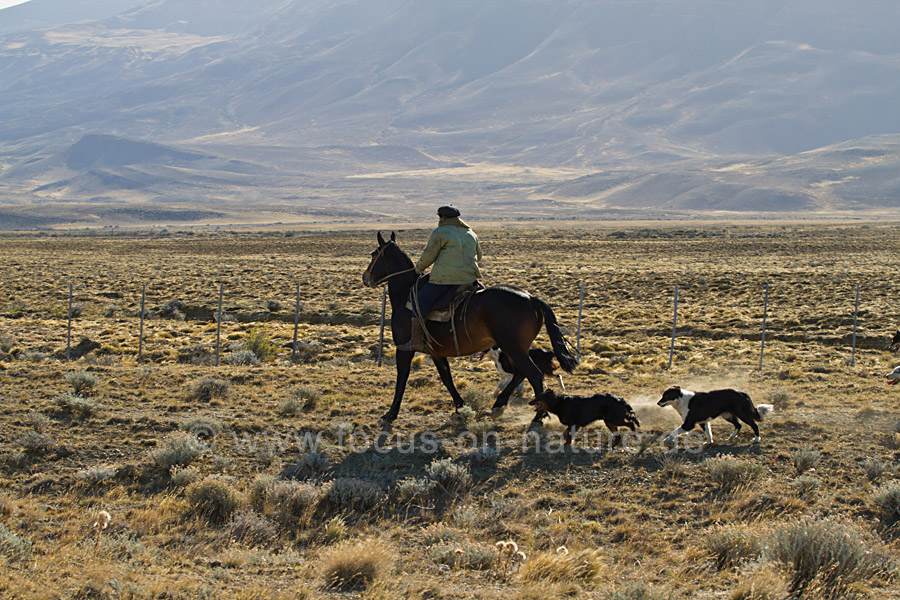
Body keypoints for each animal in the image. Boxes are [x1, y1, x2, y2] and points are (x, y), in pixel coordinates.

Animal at [362, 231, 579, 425]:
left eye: (373, 254)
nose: (366, 277)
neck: (405, 294)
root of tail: (531, 298)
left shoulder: (404, 349)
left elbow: (401, 380)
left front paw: (390, 414)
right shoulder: (436, 352)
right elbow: (447, 378)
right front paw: (461, 407)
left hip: (514, 349)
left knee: (533, 375)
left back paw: (536, 417)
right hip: (515, 350)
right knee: (520, 374)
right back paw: (499, 406)